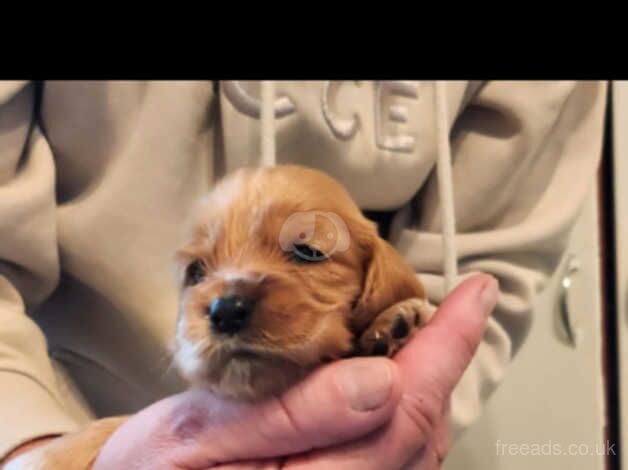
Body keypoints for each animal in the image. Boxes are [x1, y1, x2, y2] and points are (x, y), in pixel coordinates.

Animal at [11, 165, 432, 470]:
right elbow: (116, 422)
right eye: (197, 272)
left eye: (309, 250)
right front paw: (47, 455)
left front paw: (397, 319)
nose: (225, 310)